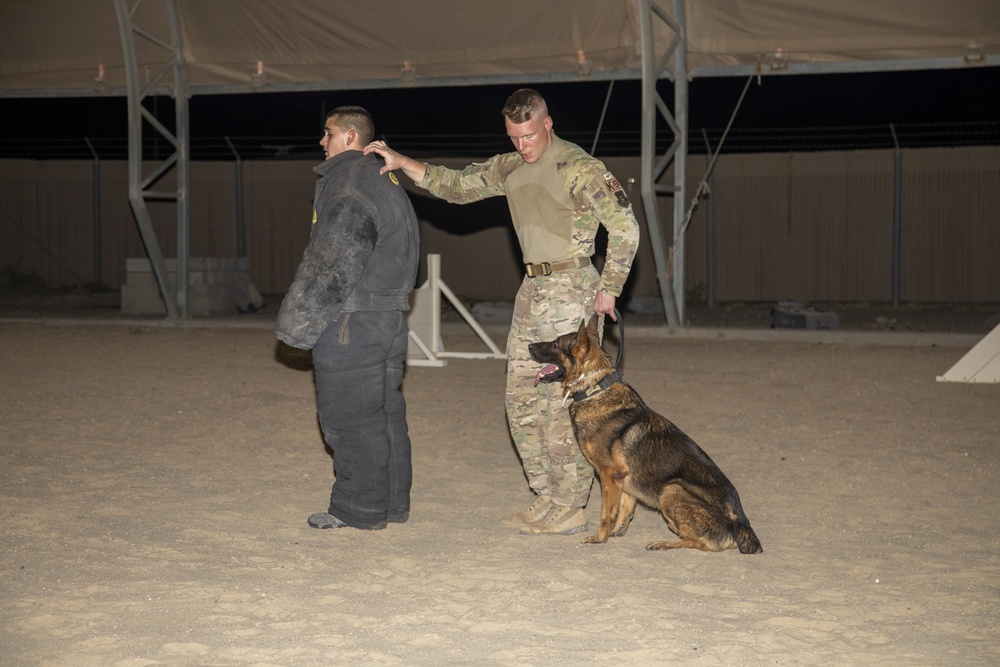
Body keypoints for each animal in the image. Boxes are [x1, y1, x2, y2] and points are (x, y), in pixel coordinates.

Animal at [528, 318, 760, 552]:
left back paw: (663, 543)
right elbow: (624, 509)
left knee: (701, 542)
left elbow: (606, 514)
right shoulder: (623, 478)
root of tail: (742, 524)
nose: (529, 345)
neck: (595, 389)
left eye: (555, 344)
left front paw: (599, 537)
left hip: (671, 489)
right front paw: (616, 532)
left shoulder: (609, 474)